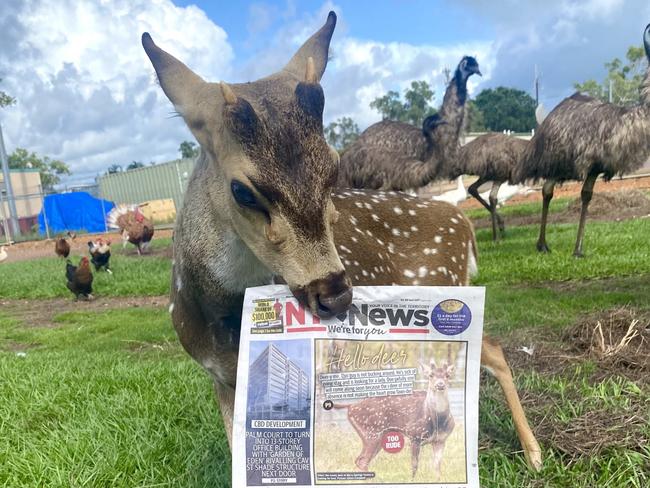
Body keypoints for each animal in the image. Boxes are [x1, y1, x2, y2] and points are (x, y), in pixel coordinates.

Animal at [330, 346, 456, 478]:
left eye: (447, 375)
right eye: (431, 375)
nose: (440, 384)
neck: (437, 421)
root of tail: (351, 406)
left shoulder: (441, 440)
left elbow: (437, 467)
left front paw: (438, 479)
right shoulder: (414, 435)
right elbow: (414, 465)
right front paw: (412, 479)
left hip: (378, 436)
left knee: (361, 459)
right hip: (371, 432)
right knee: (362, 460)